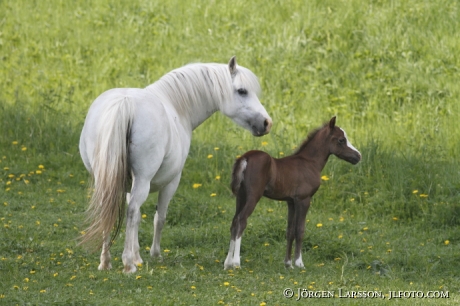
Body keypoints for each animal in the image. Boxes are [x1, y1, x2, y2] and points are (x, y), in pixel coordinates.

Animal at [79, 56, 272, 272]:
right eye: (242, 91)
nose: (267, 123)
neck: (176, 108)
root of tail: (124, 103)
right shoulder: (171, 182)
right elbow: (158, 218)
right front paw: (153, 254)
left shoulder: (128, 185)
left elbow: (138, 218)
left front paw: (138, 256)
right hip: (143, 180)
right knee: (131, 212)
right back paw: (128, 264)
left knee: (109, 211)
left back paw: (106, 262)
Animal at [225, 116, 362, 268]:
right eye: (341, 140)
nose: (358, 156)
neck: (309, 162)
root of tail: (245, 158)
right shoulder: (304, 199)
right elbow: (300, 230)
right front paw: (299, 263)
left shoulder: (291, 202)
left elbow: (290, 231)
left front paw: (288, 264)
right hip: (253, 196)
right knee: (241, 220)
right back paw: (236, 262)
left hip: (241, 196)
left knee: (234, 222)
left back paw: (227, 263)